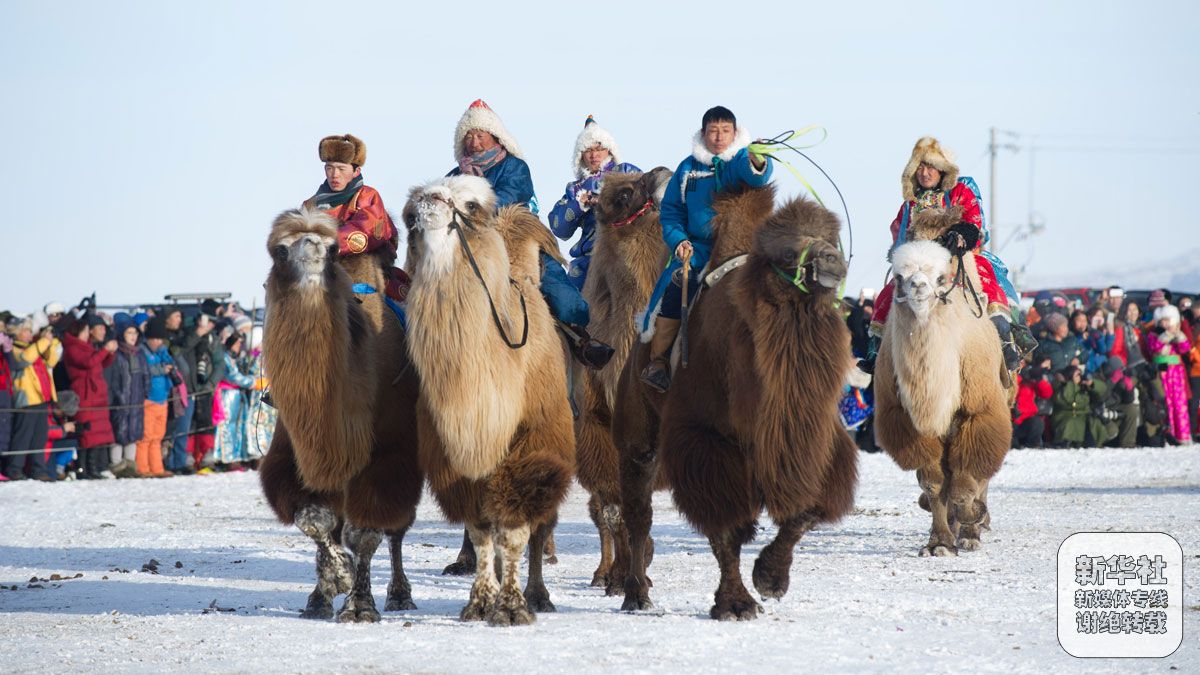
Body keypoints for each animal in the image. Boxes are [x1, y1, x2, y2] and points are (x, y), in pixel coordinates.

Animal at [255, 208, 424, 619]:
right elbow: (316, 520)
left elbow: (364, 533)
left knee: (397, 529)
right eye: (280, 250)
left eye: (333, 249)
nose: (313, 245)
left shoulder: (389, 456)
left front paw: (359, 605)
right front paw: (329, 584)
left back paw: (400, 594)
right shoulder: (297, 455)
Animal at [400, 174, 573, 624]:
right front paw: (480, 601)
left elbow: (514, 531)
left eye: (472, 205)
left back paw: (539, 594)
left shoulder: (532, 447)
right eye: (408, 216)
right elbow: (480, 532)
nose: (430, 200)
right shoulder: (454, 459)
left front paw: (512, 606)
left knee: (540, 529)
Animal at [657, 192, 864, 619]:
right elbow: (727, 527)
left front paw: (771, 578)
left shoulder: (818, 440)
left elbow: (805, 510)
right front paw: (735, 603)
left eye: (830, 238)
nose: (831, 261)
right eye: (786, 252)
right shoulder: (705, 440)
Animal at [873, 207, 1012, 554]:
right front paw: (939, 542)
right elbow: (934, 484)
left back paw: (973, 526)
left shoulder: (978, 412)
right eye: (899, 276)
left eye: (940, 277)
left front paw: (972, 523)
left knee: (979, 473)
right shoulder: (909, 422)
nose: (918, 286)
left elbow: (969, 476)